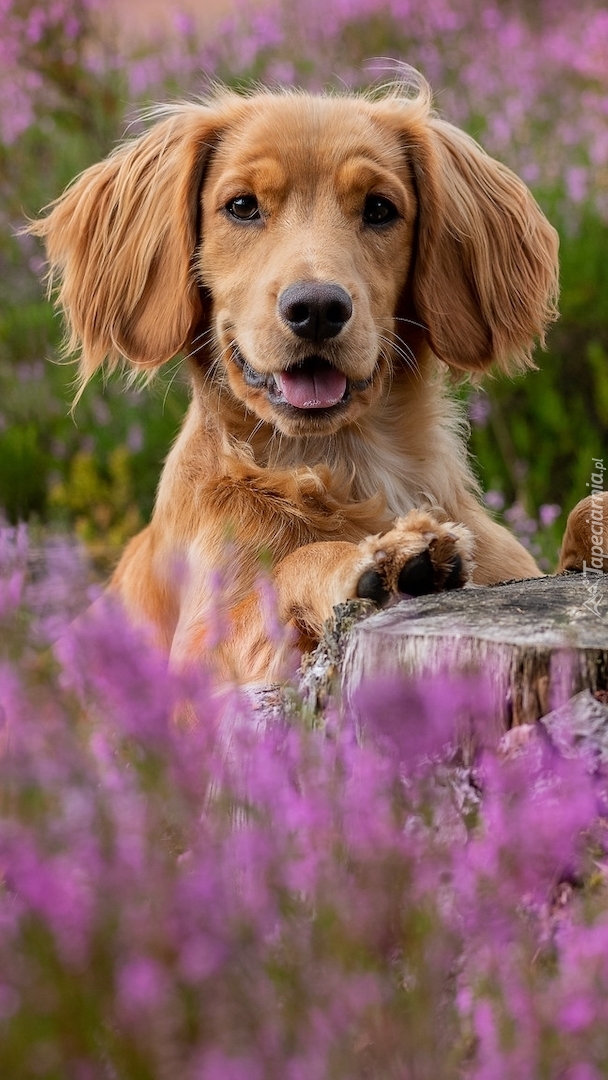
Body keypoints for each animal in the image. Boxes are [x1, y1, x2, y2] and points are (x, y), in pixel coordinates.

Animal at [29, 76, 604, 682]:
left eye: (380, 208)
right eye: (242, 206)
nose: (318, 309)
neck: (349, 459)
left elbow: (580, 514)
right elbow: (290, 567)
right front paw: (384, 559)